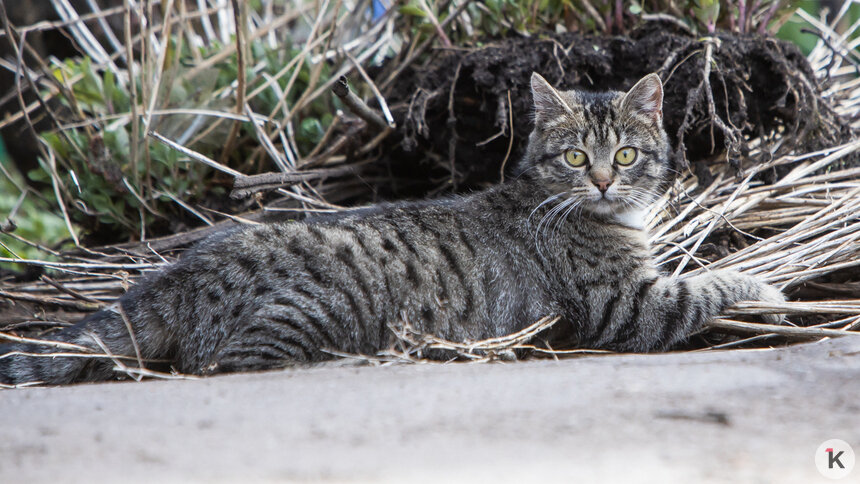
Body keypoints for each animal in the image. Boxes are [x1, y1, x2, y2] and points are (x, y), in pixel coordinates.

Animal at [0, 72, 788, 384]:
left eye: (624, 154)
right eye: (574, 157)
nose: (599, 179)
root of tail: (186, 266)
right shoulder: (621, 305)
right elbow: (704, 285)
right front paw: (766, 286)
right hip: (311, 309)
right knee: (230, 365)